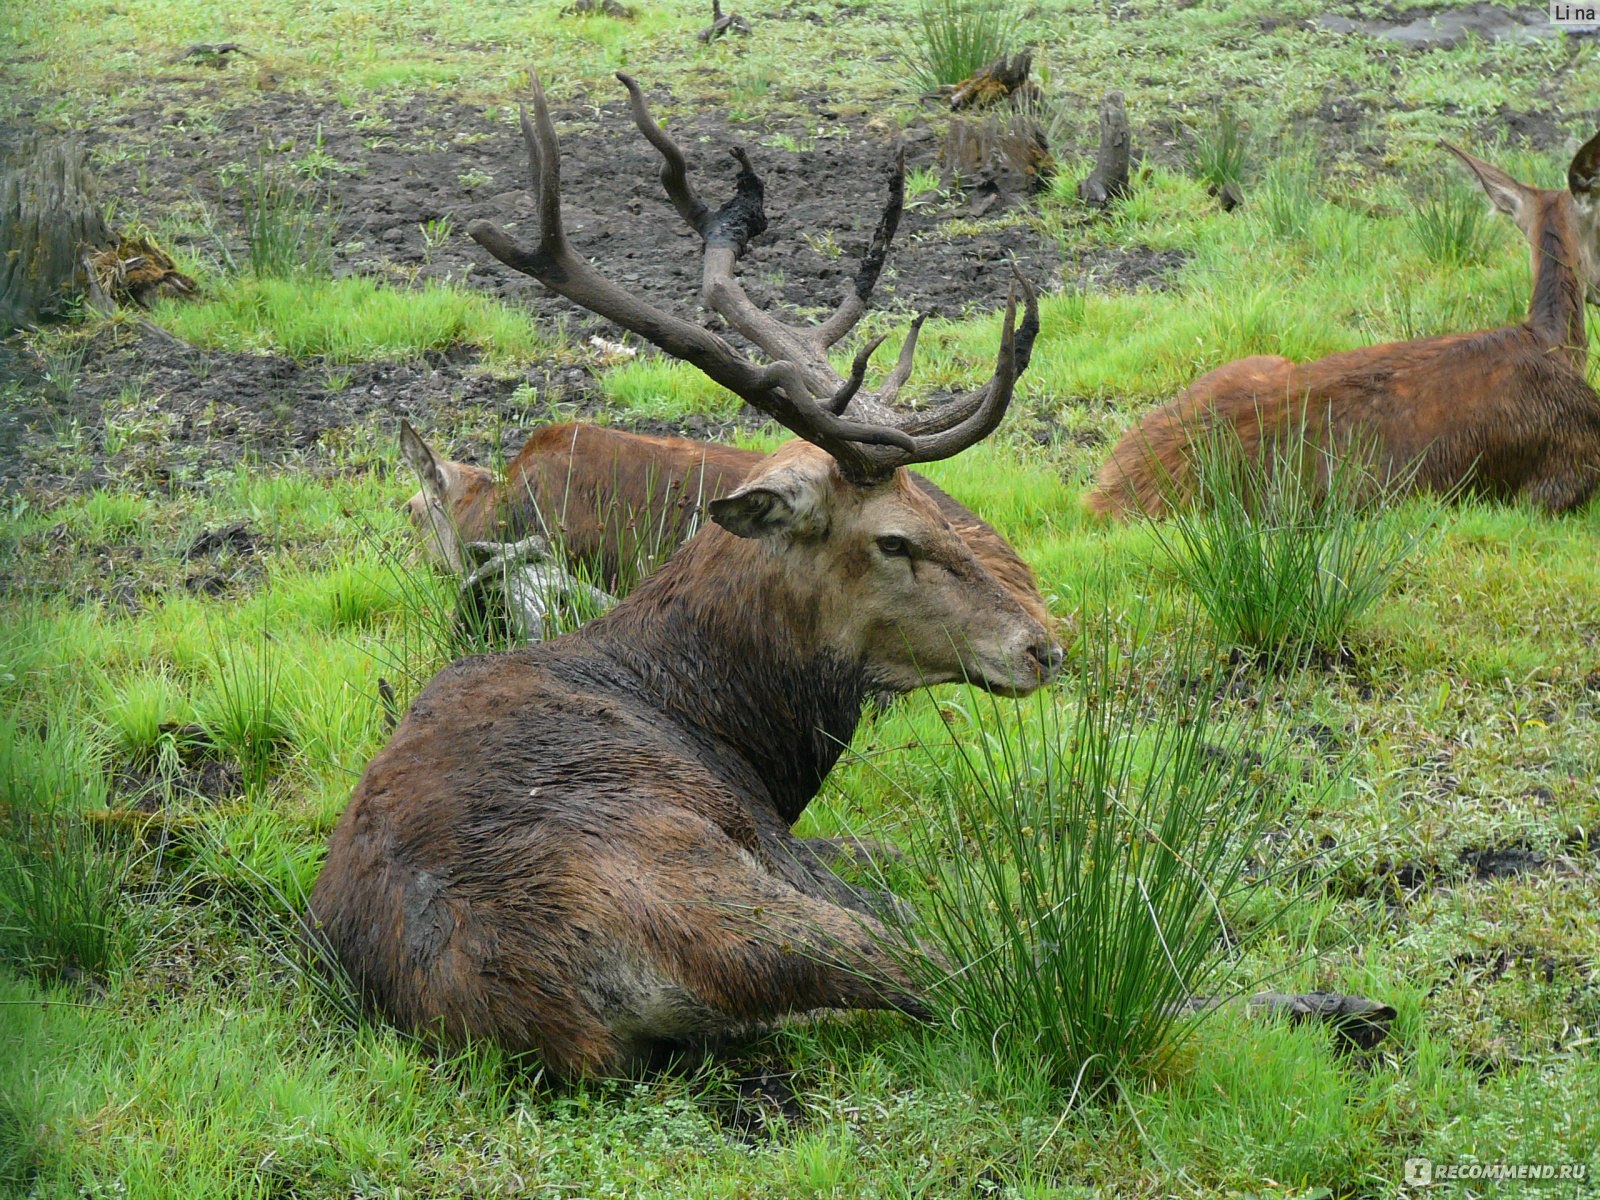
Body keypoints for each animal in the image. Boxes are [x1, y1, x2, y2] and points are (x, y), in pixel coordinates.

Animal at [315, 70, 1062, 1075]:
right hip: (719, 881)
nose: (1042, 646)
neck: (741, 729)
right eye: (895, 539)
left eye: (940, 507)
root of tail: (547, 997)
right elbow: (892, 861)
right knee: (941, 971)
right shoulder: (775, 837)